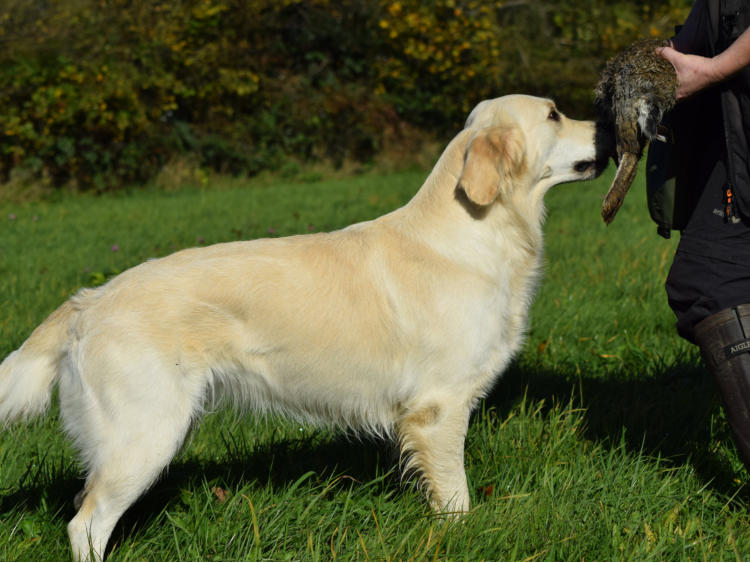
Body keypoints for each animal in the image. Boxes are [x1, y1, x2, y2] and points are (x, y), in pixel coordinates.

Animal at [0, 95, 608, 560]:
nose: (609, 124)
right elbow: (455, 498)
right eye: (554, 114)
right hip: (144, 434)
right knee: (86, 523)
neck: (478, 234)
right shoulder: (438, 409)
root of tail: (88, 301)